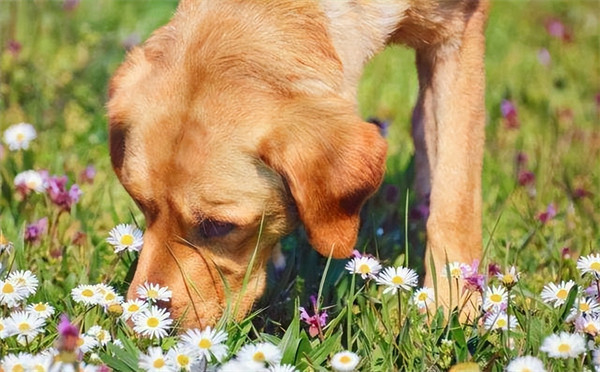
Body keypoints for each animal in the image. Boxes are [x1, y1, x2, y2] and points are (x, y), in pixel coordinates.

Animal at [109, 0, 488, 326]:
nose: (136, 325)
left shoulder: (458, 32)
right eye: (141, 204)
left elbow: (454, 201)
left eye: (218, 226)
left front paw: (454, 307)